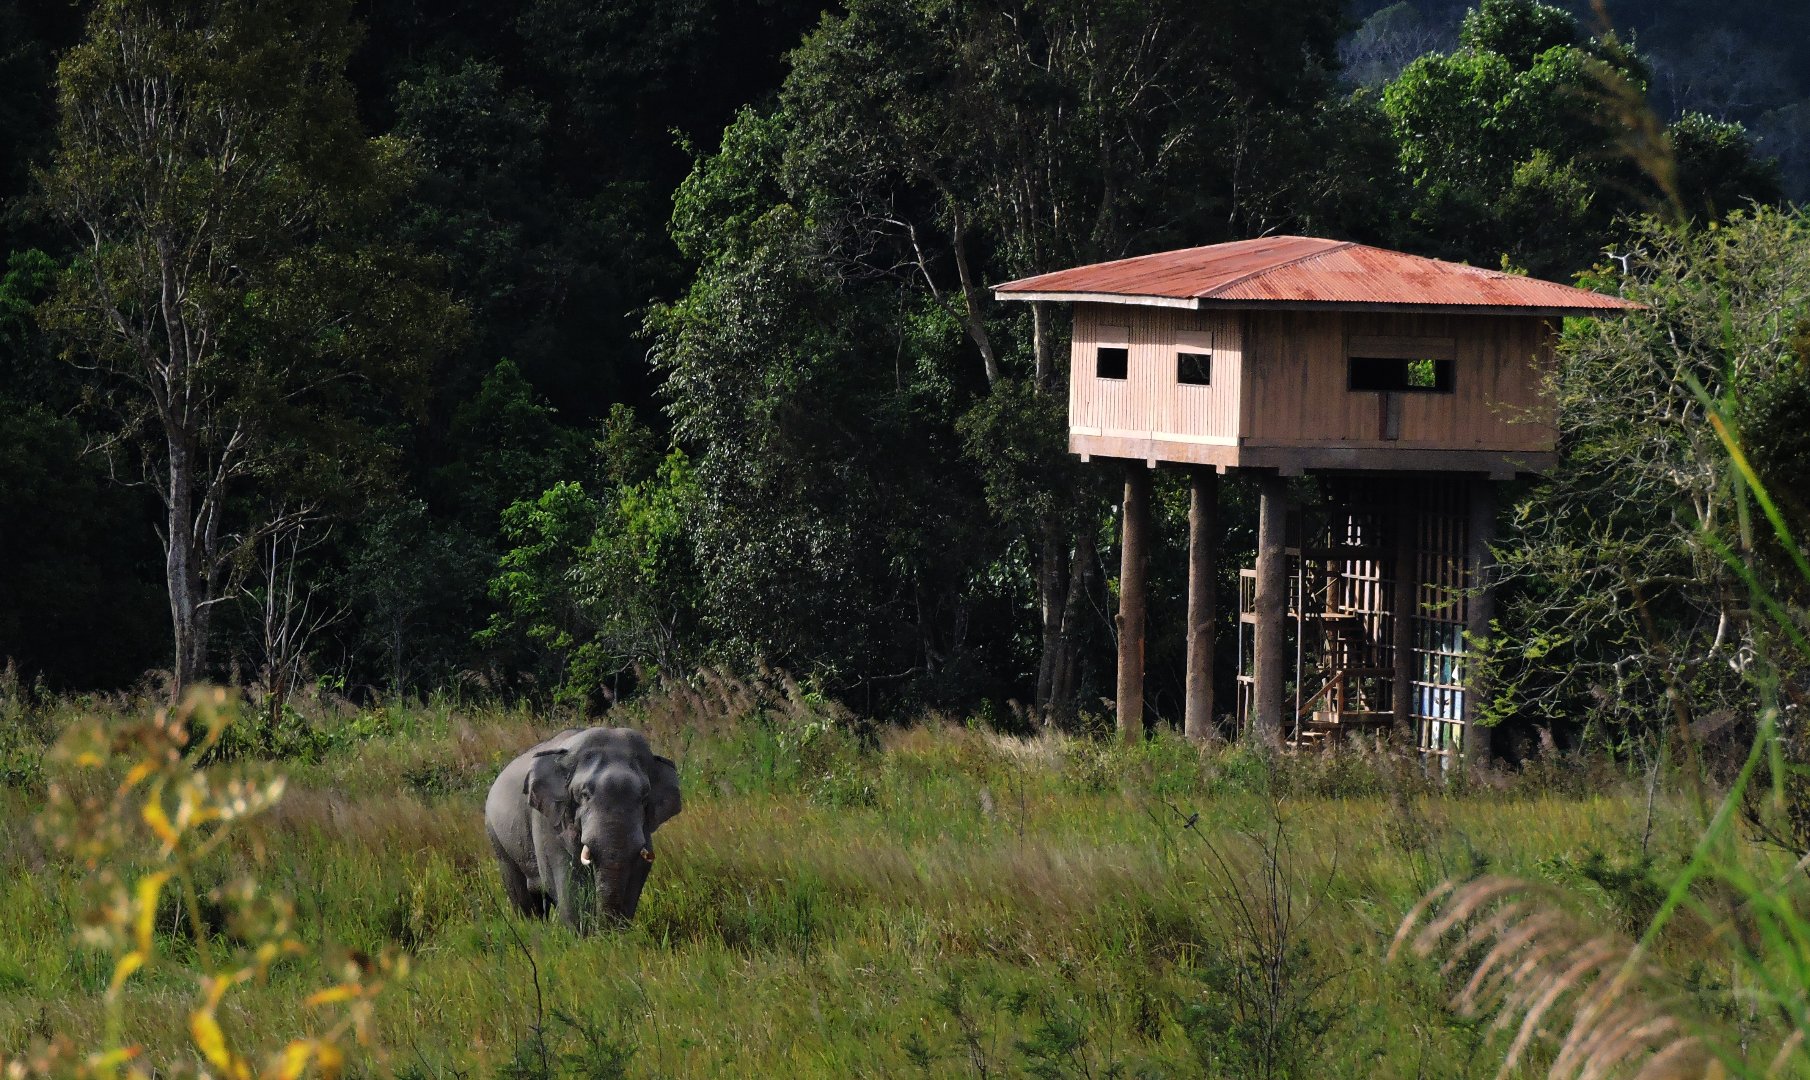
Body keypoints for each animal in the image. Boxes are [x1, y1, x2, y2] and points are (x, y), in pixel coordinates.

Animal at [485, 727, 680, 933]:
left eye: (644, 798)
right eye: (584, 794)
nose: (606, 931)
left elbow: (639, 868)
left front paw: (619, 933)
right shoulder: (547, 819)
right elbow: (564, 871)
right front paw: (583, 935)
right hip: (496, 837)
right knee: (520, 891)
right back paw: (531, 928)